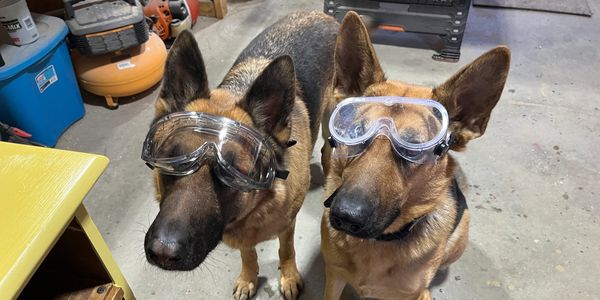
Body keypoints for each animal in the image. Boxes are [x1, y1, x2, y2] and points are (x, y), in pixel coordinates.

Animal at [141, 10, 338, 298]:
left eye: (230, 174)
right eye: (173, 162)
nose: (163, 253)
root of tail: (319, 13)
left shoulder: (287, 224)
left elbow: (286, 249)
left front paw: (289, 276)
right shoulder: (242, 232)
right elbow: (248, 254)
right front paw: (248, 278)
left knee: (327, 145)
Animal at [322, 11, 508, 300]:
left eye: (414, 149)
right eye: (354, 133)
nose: (346, 217)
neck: (379, 241)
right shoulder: (334, 277)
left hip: (461, 232)